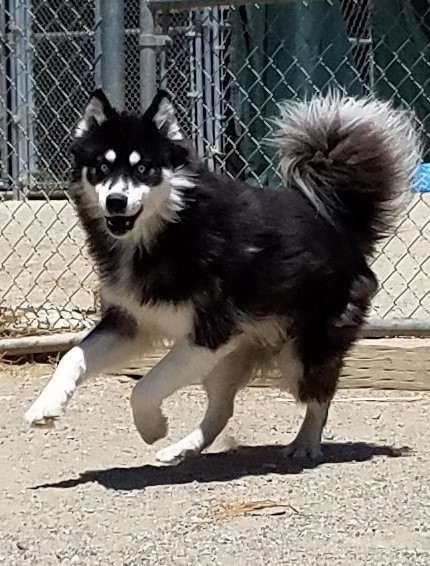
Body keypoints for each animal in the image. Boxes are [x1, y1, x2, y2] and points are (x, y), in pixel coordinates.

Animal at [24, 87, 420, 462]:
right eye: (101, 168)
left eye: (144, 169)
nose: (116, 202)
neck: (170, 230)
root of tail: (340, 224)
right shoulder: (132, 322)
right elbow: (72, 356)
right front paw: (45, 405)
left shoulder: (210, 333)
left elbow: (145, 386)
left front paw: (153, 427)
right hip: (230, 358)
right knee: (222, 408)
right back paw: (183, 448)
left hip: (301, 351)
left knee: (319, 396)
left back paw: (306, 443)